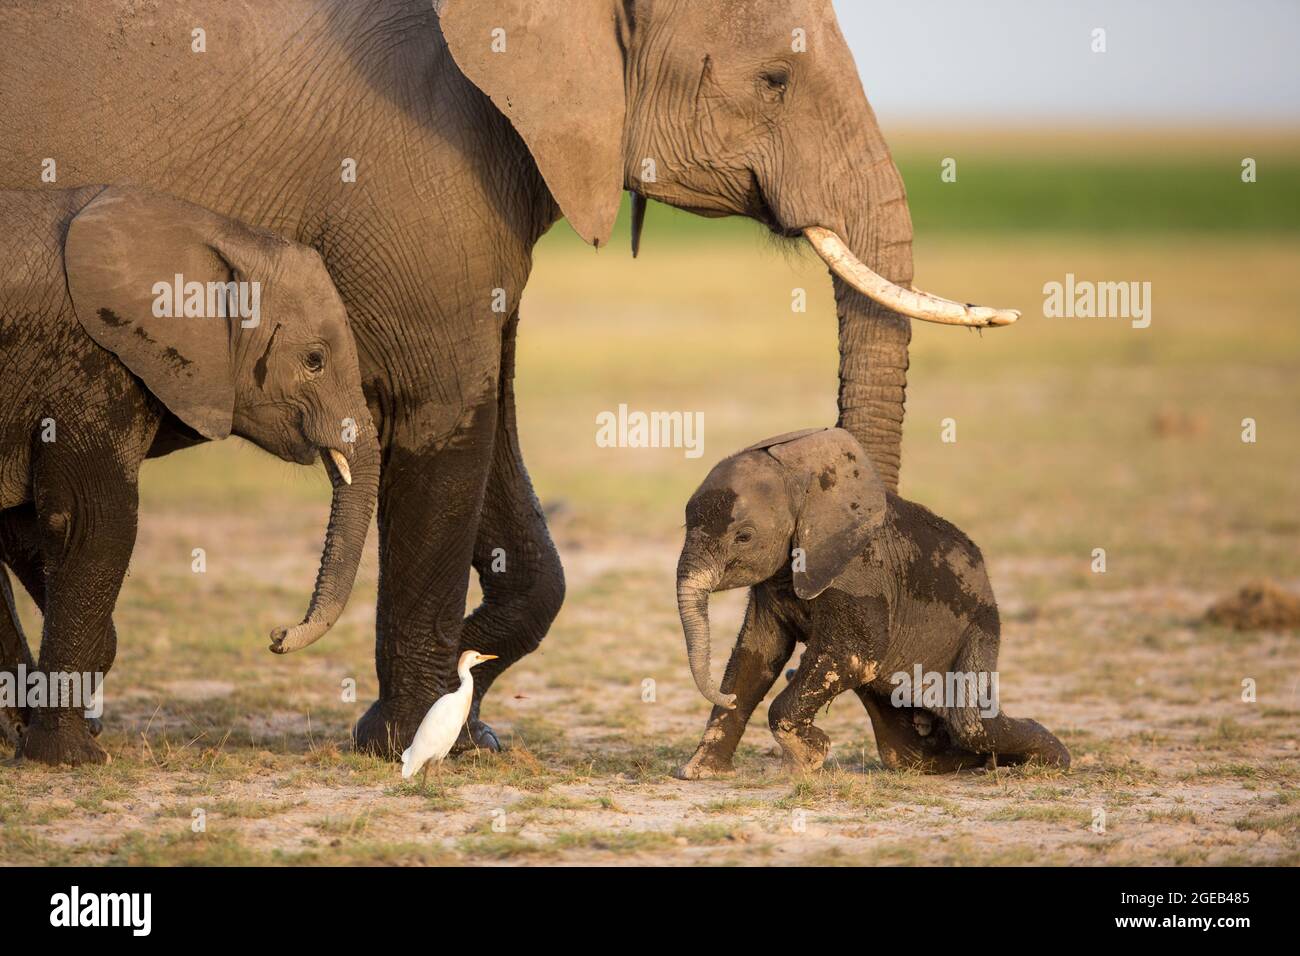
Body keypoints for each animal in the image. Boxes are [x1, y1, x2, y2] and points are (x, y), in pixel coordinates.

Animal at [2, 187, 379, 764]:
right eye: (314, 359)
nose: (276, 635)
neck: (211, 234)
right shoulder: (90, 364)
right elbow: (92, 523)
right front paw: (72, 757)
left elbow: (24, 526)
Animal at [670, 426, 1066, 780]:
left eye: (744, 536)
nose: (724, 698)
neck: (804, 479)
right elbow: (758, 652)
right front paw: (699, 772)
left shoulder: (859, 570)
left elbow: (855, 652)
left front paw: (808, 760)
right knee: (904, 752)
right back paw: (979, 761)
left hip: (981, 630)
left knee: (971, 724)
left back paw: (1047, 760)